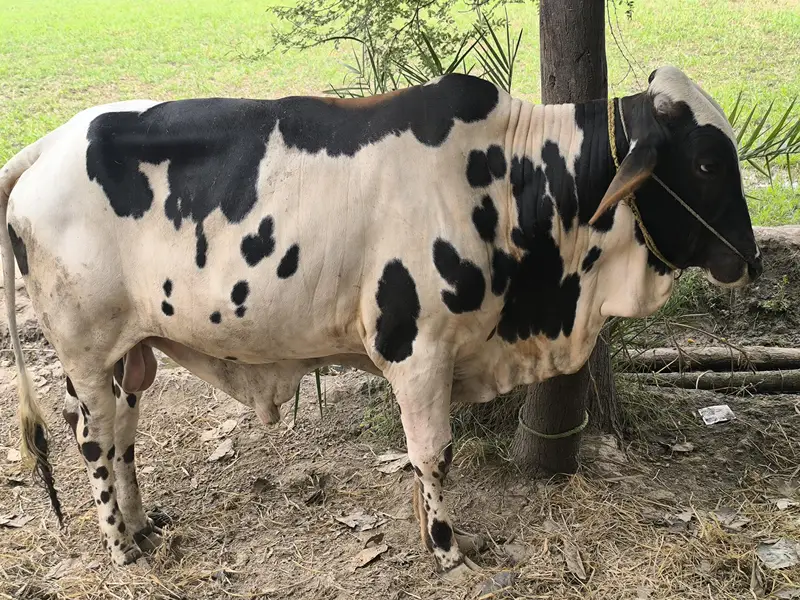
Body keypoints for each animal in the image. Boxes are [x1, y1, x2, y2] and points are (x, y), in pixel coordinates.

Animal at [1, 64, 761, 579]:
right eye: (704, 161)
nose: (750, 259)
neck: (511, 179)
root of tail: (47, 146)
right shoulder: (417, 350)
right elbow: (434, 453)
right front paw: (448, 547)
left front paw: (439, 535)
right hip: (85, 353)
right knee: (94, 441)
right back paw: (121, 546)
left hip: (131, 352)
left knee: (124, 436)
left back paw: (143, 522)